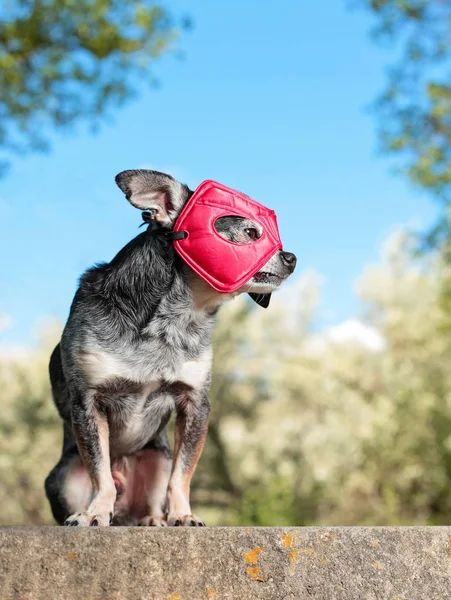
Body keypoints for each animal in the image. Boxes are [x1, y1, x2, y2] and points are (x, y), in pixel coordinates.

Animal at [45, 169, 296, 524]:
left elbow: (182, 474)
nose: (292, 257)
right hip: (62, 476)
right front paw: (95, 514)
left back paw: (155, 519)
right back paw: (90, 513)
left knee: (156, 494)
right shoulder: (87, 403)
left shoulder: (194, 405)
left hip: (158, 459)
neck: (175, 318)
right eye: (250, 233)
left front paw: (184, 515)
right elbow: (100, 472)